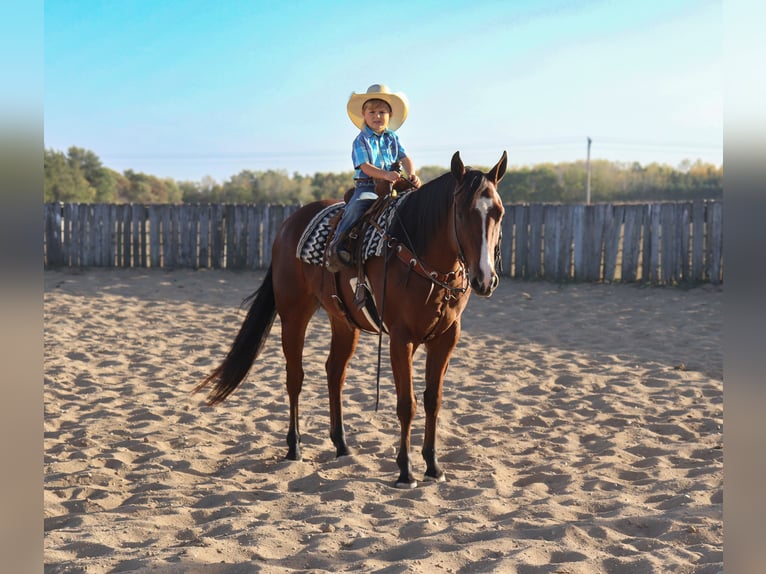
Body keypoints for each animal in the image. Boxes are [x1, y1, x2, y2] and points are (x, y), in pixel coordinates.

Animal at [196, 151, 510, 488]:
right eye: (461, 214)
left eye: (499, 213)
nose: (484, 279)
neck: (420, 254)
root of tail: (288, 226)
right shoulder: (401, 338)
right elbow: (407, 404)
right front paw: (405, 471)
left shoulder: (446, 338)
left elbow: (432, 400)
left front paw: (433, 465)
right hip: (294, 314)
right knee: (295, 377)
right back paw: (294, 447)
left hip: (344, 323)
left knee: (334, 373)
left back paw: (342, 444)